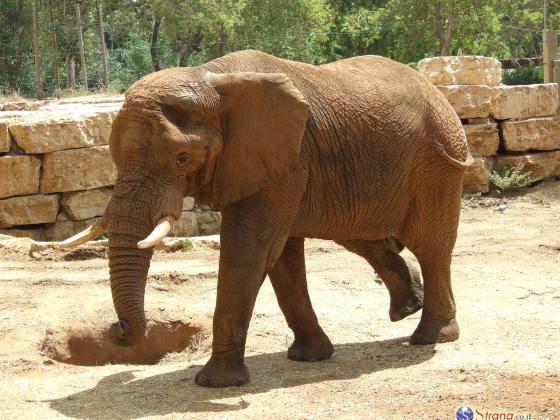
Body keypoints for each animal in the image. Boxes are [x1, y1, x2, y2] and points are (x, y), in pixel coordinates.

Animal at [62, 49, 472, 388]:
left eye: (182, 158)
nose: (117, 330)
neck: (210, 79)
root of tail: (439, 95)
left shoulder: (286, 158)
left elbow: (250, 250)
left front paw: (215, 384)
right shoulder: (272, 163)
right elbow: (281, 256)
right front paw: (310, 358)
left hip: (437, 162)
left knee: (429, 245)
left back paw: (430, 336)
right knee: (365, 238)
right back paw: (407, 310)